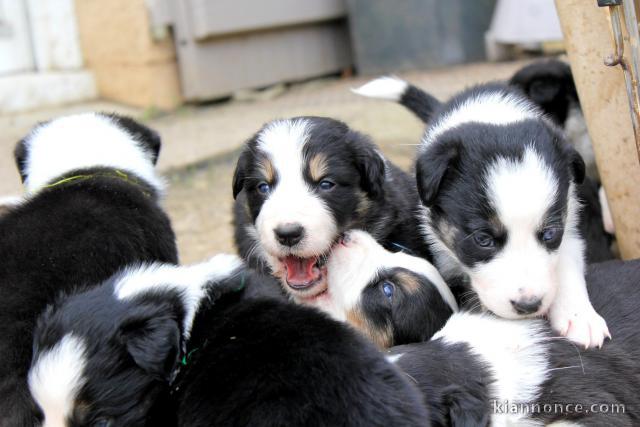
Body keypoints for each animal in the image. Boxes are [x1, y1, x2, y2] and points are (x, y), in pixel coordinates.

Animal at [356, 78, 608, 350]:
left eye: (549, 234)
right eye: (483, 239)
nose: (528, 305)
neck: (493, 115)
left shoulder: (570, 221)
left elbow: (567, 263)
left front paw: (580, 317)